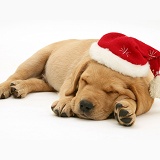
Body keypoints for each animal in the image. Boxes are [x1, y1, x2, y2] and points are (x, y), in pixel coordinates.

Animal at [0, 35, 155, 126]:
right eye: (84, 81)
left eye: (112, 92)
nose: (85, 105)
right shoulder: (70, 80)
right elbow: (69, 93)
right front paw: (66, 103)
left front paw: (126, 109)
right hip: (36, 59)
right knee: (15, 75)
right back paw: (6, 87)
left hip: (48, 82)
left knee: (38, 83)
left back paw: (20, 86)